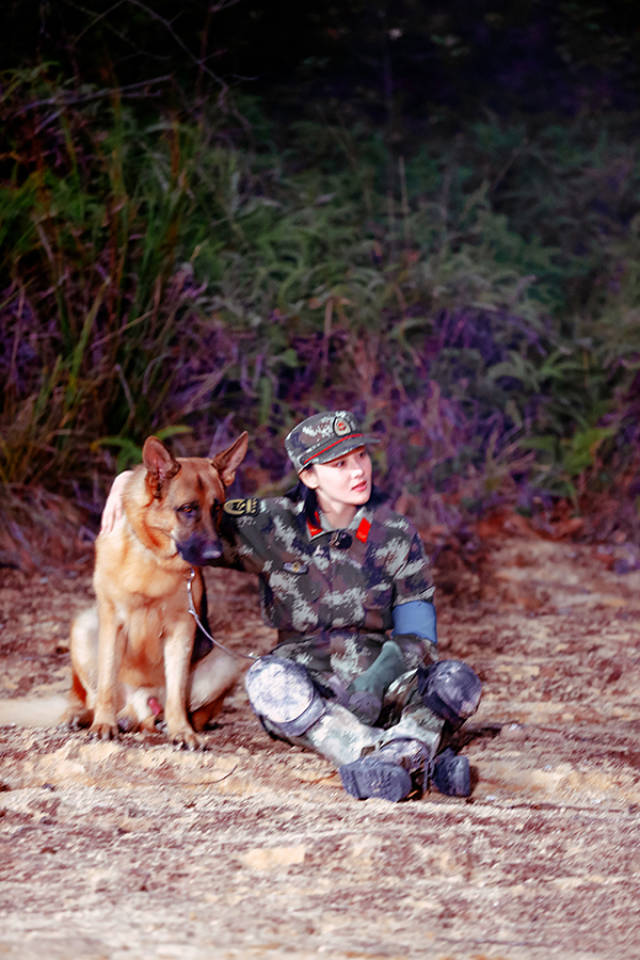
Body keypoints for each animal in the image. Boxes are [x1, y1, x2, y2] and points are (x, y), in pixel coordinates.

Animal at [64, 430, 250, 752]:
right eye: (187, 509)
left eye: (217, 508)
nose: (215, 555)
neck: (153, 558)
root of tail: (137, 707)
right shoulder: (111, 623)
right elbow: (107, 683)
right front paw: (103, 724)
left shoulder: (182, 629)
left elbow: (176, 691)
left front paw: (182, 731)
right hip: (84, 628)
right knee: (95, 696)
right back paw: (90, 717)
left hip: (224, 663)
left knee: (190, 708)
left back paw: (171, 723)